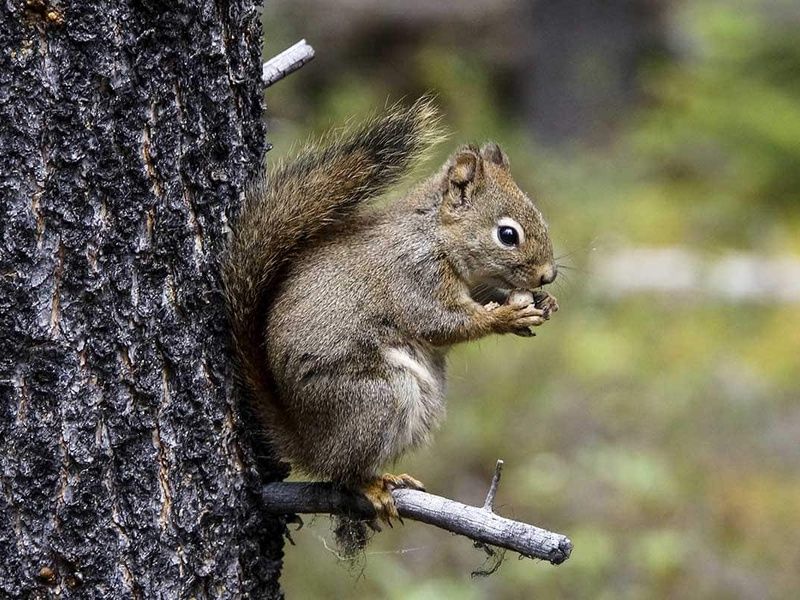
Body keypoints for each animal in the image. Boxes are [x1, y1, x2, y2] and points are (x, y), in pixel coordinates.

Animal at [219, 97, 556, 528]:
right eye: (507, 234)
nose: (548, 275)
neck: (435, 235)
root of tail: (309, 442)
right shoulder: (414, 277)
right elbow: (443, 323)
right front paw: (506, 317)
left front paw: (543, 303)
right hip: (377, 397)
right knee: (343, 472)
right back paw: (370, 485)